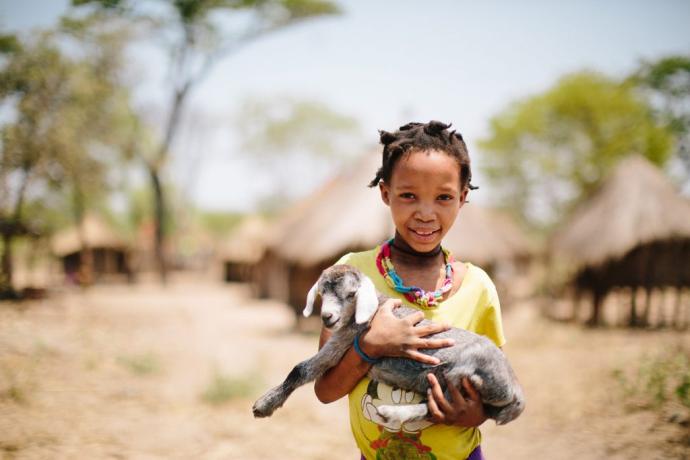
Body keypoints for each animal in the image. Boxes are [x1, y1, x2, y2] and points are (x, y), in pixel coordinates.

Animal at [250, 264, 524, 426]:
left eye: (351, 294)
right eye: (321, 293)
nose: (327, 317)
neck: (371, 312)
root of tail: (516, 392)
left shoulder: (342, 343)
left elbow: (301, 369)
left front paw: (265, 404)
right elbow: (303, 370)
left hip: (470, 372)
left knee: (441, 405)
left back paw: (395, 413)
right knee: (436, 408)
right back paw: (394, 413)